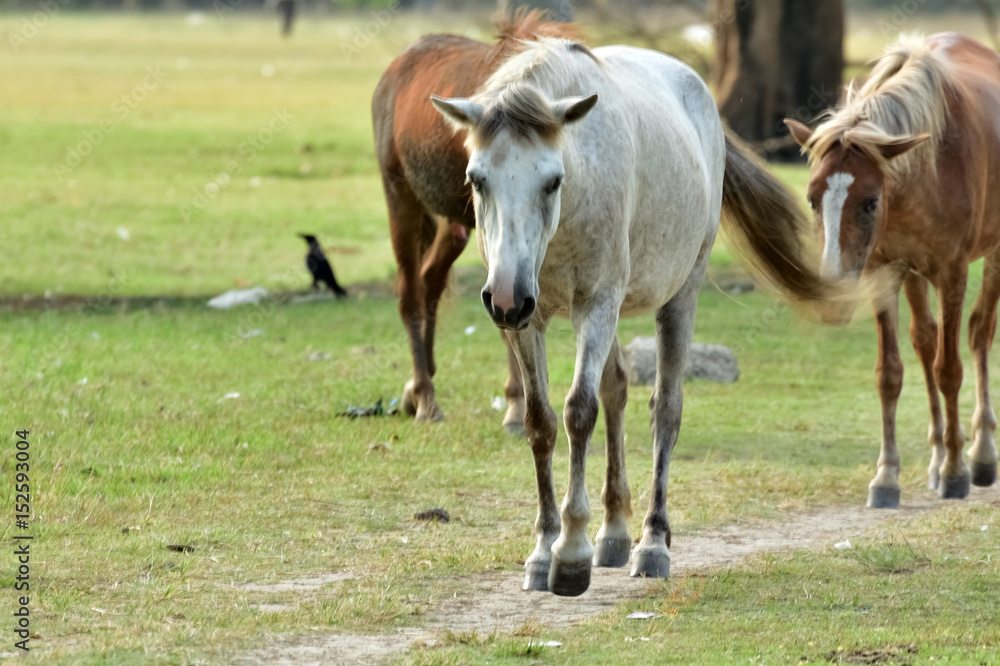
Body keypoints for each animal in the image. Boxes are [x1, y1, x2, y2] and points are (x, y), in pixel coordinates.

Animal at [374, 11, 580, 426]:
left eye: (553, 180)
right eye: (481, 178)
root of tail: (395, 70)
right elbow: (507, 314)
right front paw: (517, 405)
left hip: (454, 227)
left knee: (430, 281)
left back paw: (417, 387)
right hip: (400, 198)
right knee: (410, 292)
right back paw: (425, 397)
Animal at [434, 39, 824, 592]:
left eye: (553, 181)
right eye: (476, 179)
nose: (506, 295)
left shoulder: (595, 303)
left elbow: (579, 411)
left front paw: (570, 554)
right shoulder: (529, 322)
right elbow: (541, 421)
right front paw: (542, 550)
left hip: (679, 297)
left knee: (665, 409)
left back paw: (651, 543)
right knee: (616, 389)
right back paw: (615, 534)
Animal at [788, 33, 1000, 506]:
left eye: (870, 202)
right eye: (812, 198)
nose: (832, 299)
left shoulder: (952, 272)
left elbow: (949, 369)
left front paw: (957, 471)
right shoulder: (882, 272)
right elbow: (890, 373)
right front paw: (887, 476)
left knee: (978, 332)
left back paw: (980, 452)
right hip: (913, 274)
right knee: (925, 339)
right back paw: (937, 458)